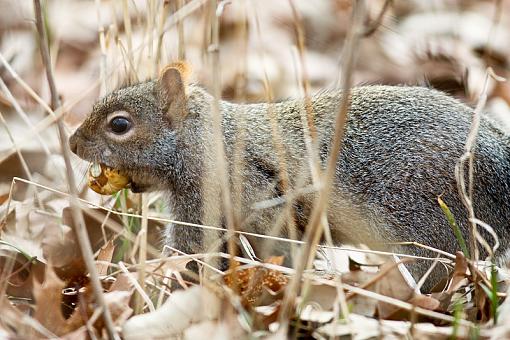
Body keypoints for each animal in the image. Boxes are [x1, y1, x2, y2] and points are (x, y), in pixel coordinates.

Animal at [68, 63, 510, 290]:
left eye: (120, 125)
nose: (73, 144)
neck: (209, 138)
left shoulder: (215, 199)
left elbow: (190, 252)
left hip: (427, 227)